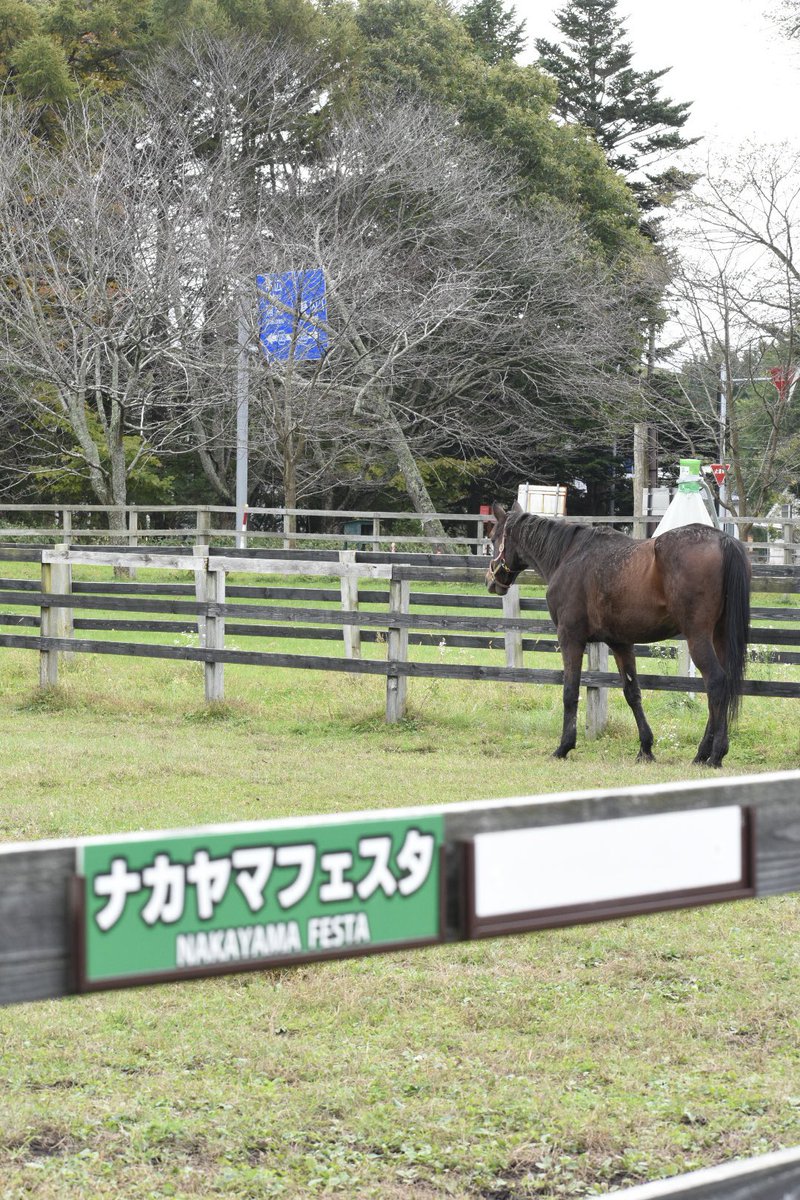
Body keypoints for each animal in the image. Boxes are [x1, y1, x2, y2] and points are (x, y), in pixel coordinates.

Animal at [484, 501, 751, 768]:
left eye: (494, 537)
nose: (491, 581)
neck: (568, 555)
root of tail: (723, 540)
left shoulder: (570, 638)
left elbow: (570, 691)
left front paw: (564, 746)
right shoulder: (620, 643)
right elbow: (632, 693)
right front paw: (645, 748)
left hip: (698, 636)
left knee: (716, 682)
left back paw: (715, 754)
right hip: (719, 636)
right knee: (721, 686)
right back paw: (701, 754)